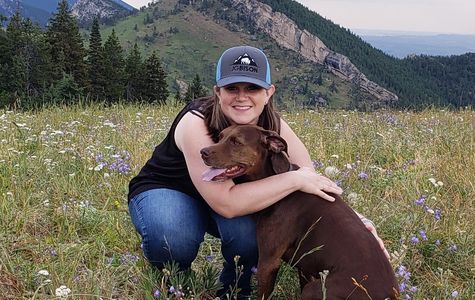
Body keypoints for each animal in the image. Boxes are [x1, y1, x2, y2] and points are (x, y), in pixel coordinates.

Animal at [202, 125, 402, 300]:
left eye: (236, 142)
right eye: (220, 137)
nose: (202, 152)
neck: (277, 180)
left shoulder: (268, 261)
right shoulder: (304, 267)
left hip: (316, 288)